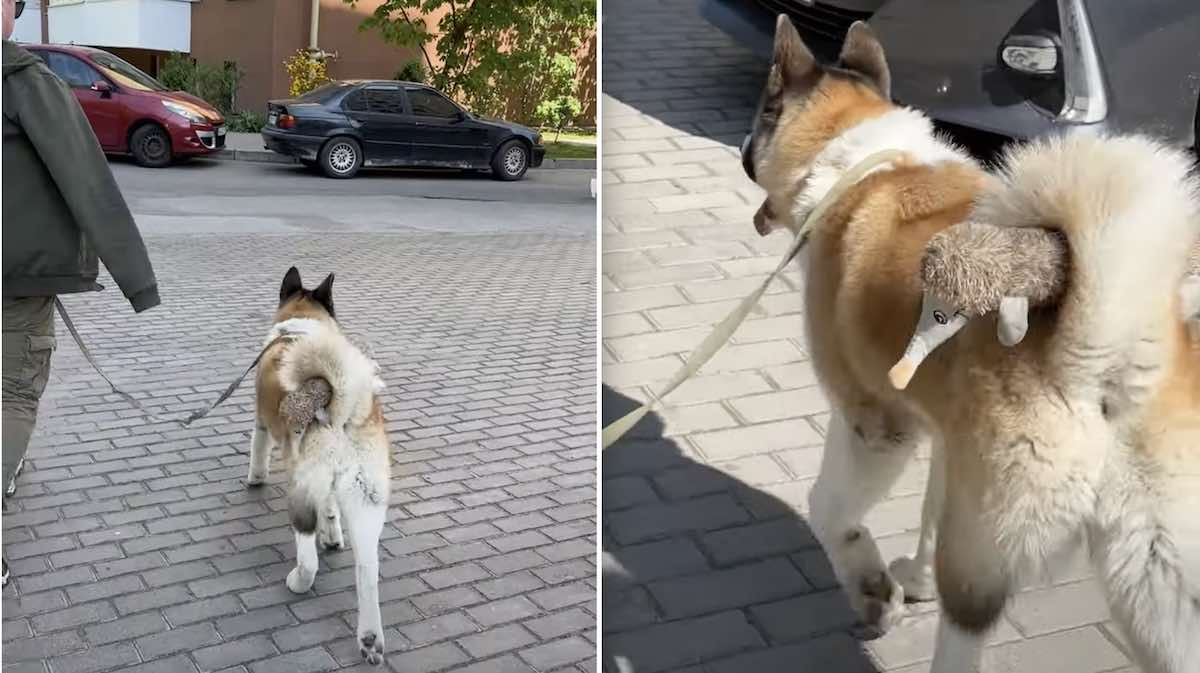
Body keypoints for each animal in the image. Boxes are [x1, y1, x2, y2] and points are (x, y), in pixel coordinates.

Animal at [247, 265, 388, 662]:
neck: (302, 322)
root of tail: (340, 410)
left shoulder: (261, 423)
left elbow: (257, 450)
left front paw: (254, 478)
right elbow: (331, 510)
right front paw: (333, 536)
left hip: (300, 487)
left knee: (307, 555)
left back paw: (298, 581)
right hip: (365, 498)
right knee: (367, 570)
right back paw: (369, 638)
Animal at [739, 15, 1200, 671]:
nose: (742, 149)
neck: (861, 164)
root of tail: (1102, 353)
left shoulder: (874, 423)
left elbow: (830, 510)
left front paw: (874, 588)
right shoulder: (950, 439)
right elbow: (930, 507)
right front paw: (912, 578)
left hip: (981, 552)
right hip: (1157, 585)